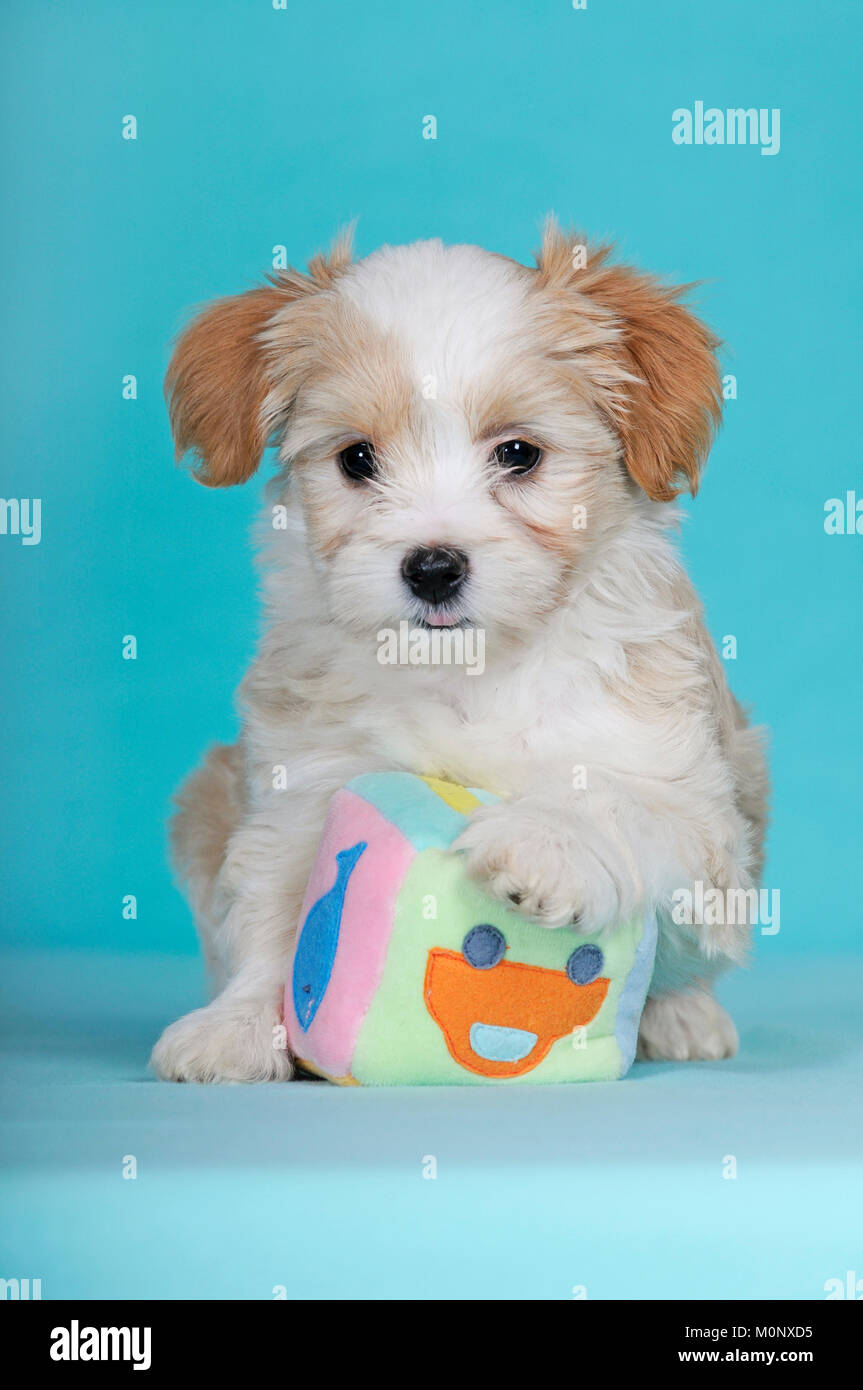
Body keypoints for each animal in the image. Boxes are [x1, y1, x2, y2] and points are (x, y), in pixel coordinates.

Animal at [150, 222, 767, 1078]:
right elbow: (275, 911)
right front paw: (240, 1025)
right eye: (357, 459)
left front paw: (544, 841)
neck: (472, 670)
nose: (433, 567)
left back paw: (681, 1018)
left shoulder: (691, 806)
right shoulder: (302, 788)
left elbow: (611, 794)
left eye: (518, 453)